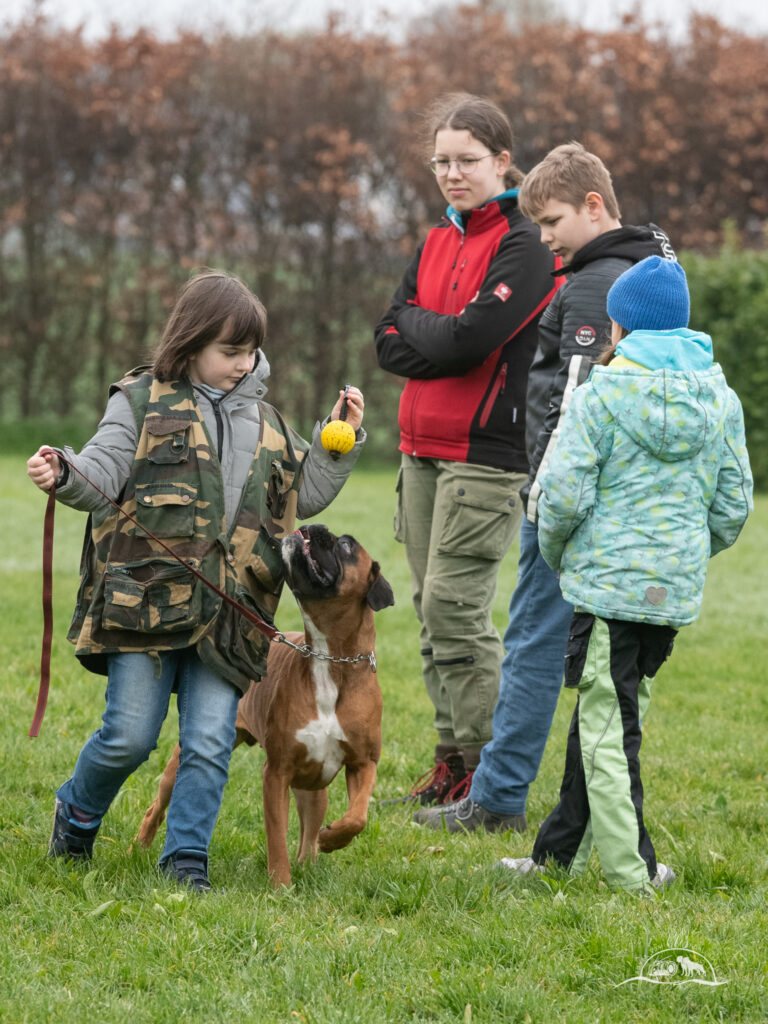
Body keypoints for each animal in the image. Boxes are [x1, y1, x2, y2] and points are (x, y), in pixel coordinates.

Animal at [134, 524, 393, 884]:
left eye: (345, 545)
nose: (314, 527)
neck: (330, 660)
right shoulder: (276, 774)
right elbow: (277, 837)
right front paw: (281, 884)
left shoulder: (363, 763)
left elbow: (358, 816)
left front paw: (332, 839)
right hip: (178, 769)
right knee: (156, 807)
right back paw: (139, 848)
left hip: (314, 790)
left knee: (308, 836)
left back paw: (310, 861)